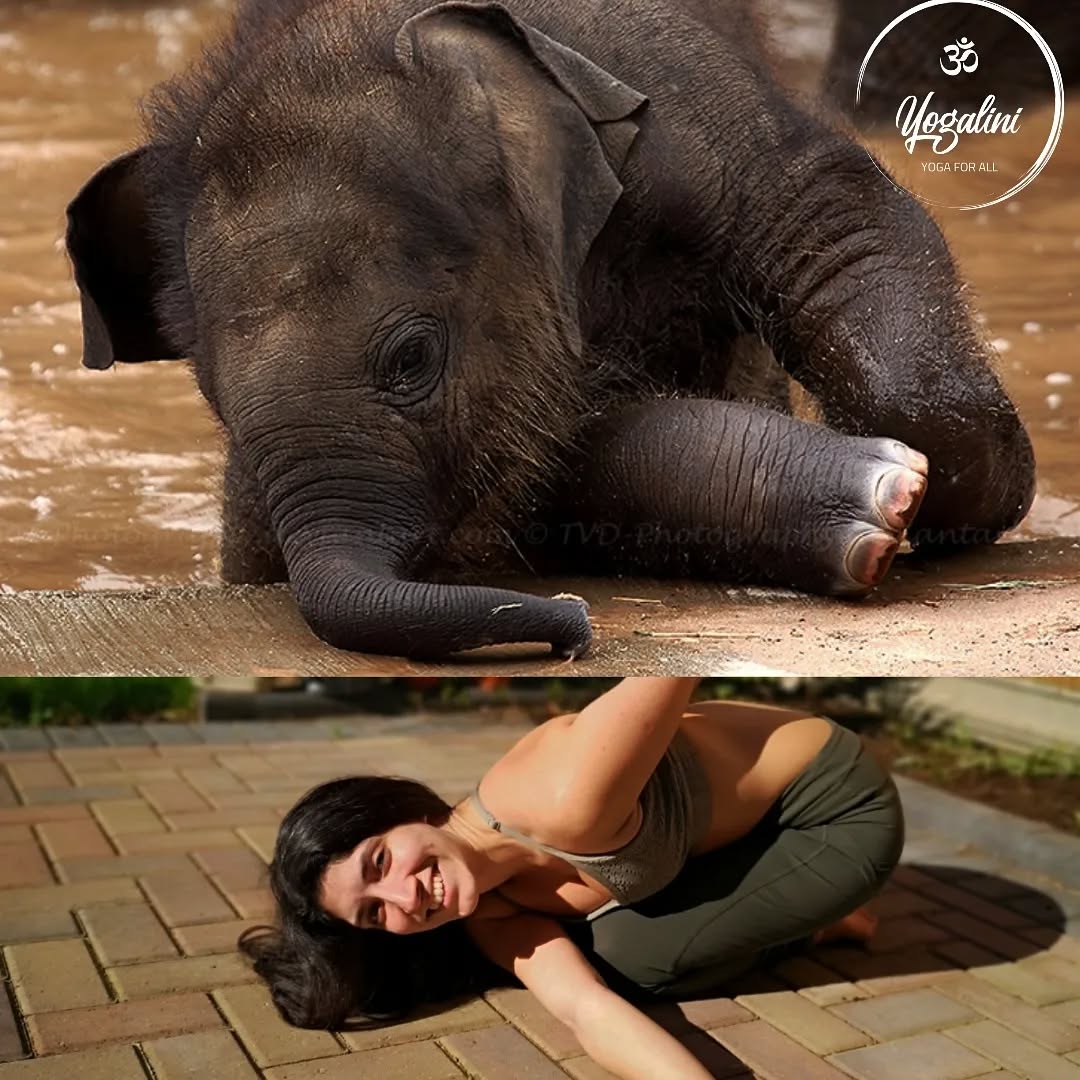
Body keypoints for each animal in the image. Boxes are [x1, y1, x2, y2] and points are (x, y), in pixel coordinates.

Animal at [66, 0, 1035, 661]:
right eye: (214, 400)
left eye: (412, 358)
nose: (575, 626)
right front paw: (882, 501)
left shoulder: (682, 105)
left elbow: (839, 215)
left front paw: (934, 506)